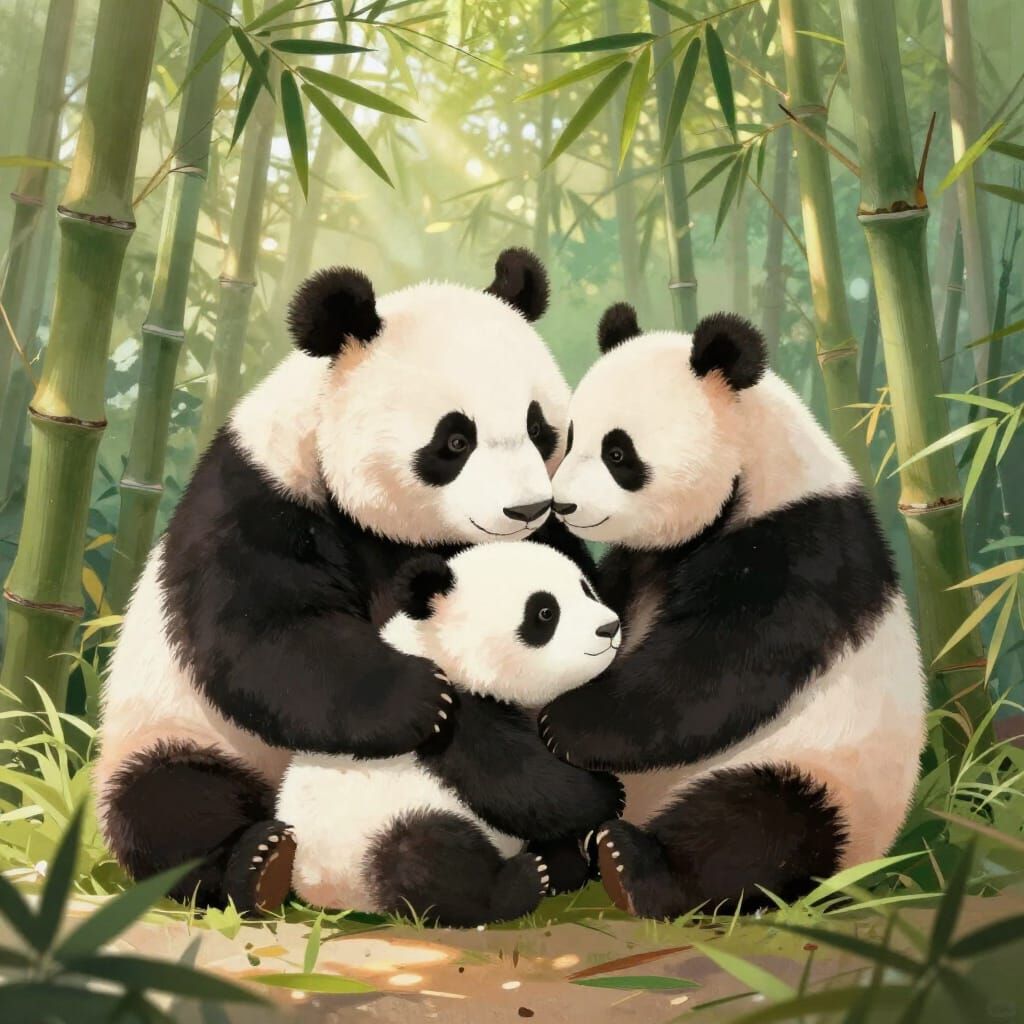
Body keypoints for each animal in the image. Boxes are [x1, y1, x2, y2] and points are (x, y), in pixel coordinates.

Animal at [95, 249, 594, 915]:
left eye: (541, 429)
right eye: (454, 440)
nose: (525, 509)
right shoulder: (258, 497)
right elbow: (267, 639)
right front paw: (423, 698)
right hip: (175, 730)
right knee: (167, 804)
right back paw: (256, 864)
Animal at [277, 541, 624, 926]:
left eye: (585, 589)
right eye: (545, 612)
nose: (609, 628)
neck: (437, 643)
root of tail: (316, 893)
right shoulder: (451, 714)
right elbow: (516, 779)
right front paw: (608, 793)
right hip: (362, 845)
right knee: (423, 856)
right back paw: (524, 881)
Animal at [538, 304, 926, 919]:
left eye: (619, 453)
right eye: (572, 437)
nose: (565, 504)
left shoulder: (803, 554)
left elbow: (716, 669)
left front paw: (566, 722)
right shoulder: (641, 562)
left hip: (828, 778)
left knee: (761, 825)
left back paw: (632, 866)